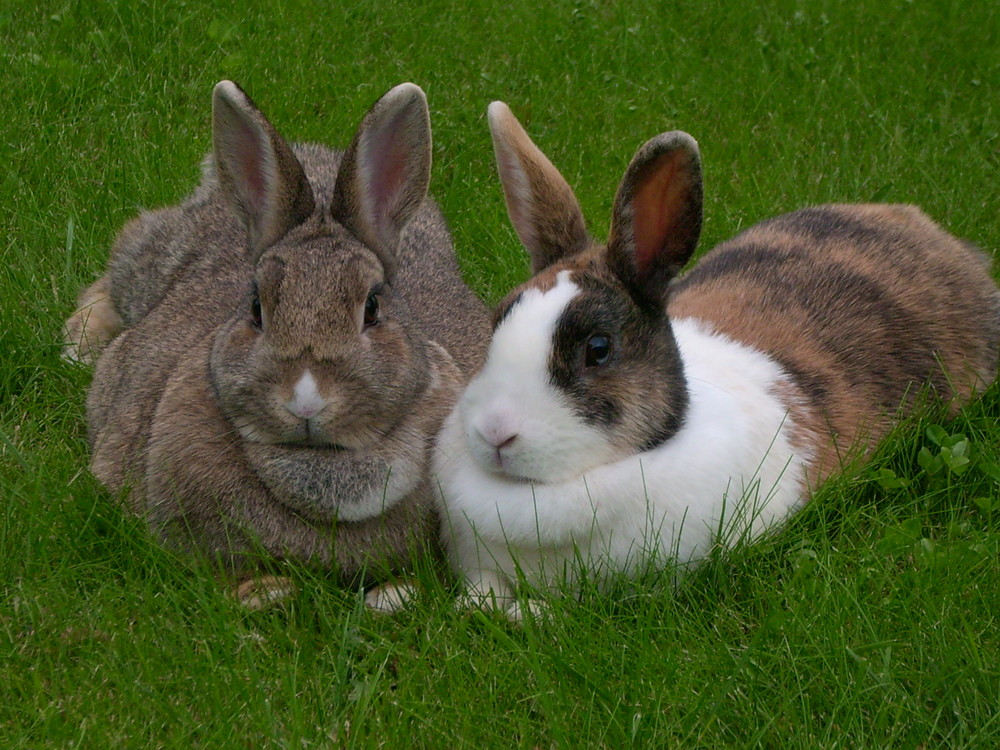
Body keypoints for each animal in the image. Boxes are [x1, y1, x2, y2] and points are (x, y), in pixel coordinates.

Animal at [64, 79, 490, 604]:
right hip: (149, 266)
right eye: (255, 308)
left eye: (372, 307)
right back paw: (79, 342)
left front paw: (393, 596)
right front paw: (267, 591)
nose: (305, 400)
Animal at [436, 101, 1000, 624]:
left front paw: (523, 612)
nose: (496, 432)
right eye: (496, 322)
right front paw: (473, 604)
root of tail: (940, 240)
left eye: (598, 349)